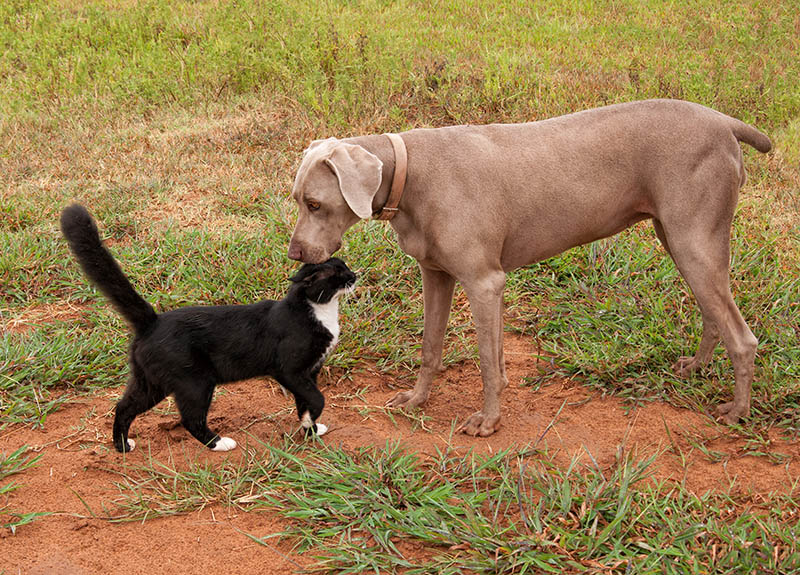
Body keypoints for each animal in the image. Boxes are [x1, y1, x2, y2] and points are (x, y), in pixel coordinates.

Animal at [59, 205, 354, 452]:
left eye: (346, 266)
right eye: (339, 274)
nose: (355, 276)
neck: (319, 311)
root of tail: (153, 321)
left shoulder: (310, 371)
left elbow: (305, 402)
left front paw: (309, 428)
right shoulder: (290, 371)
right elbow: (317, 399)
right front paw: (310, 422)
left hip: (150, 382)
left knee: (123, 407)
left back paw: (122, 446)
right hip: (195, 383)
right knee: (191, 419)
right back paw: (218, 443)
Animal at [286, 101, 768, 438]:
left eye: (315, 203)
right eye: (296, 200)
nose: (294, 254)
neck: (411, 171)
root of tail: (725, 122)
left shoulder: (485, 282)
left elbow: (487, 362)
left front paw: (488, 422)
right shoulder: (436, 274)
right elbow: (431, 347)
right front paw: (417, 399)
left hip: (692, 239)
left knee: (742, 337)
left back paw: (737, 412)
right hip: (678, 238)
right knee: (714, 312)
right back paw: (697, 367)